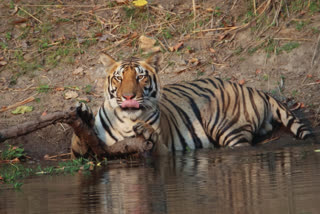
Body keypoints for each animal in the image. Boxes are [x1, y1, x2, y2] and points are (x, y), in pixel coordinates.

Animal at [71, 53, 312, 157]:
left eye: (140, 77)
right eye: (119, 78)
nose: (129, 96)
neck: (127, 121)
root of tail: (256, 89)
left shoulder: (164, 149)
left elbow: (154, 142)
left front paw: (146, 131)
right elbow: (78, 143)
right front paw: (82, 115)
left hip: (226, 127)